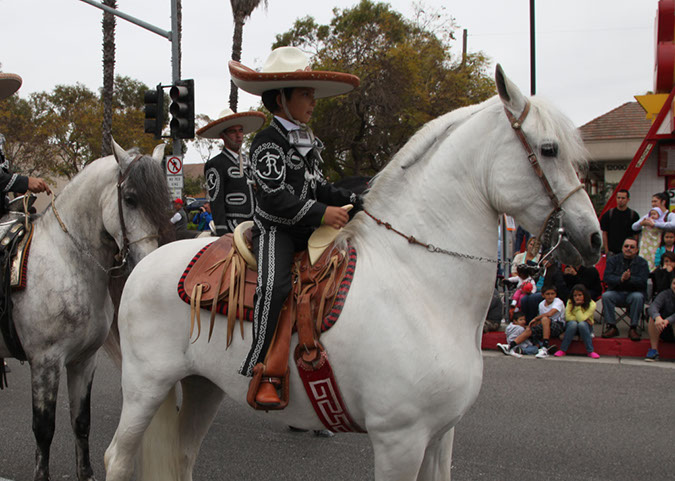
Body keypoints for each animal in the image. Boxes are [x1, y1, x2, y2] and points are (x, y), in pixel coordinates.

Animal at [0, 142, 170, 480]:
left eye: (162, 200)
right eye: (130, 199)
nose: (148, 261)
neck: (67, 261)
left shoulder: (84, 360)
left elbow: (81, 422)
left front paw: (87, 473)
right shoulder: (46, 362)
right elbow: (44, 429)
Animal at [103, 64, 600, 480]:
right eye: (549, 149)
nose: (593, 239)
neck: (421, 287)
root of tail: (148, 263)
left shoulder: (440, 436)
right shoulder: (400, 440)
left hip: (201, 386)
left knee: (183, 456)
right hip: (145, 386)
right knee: (117, 458)